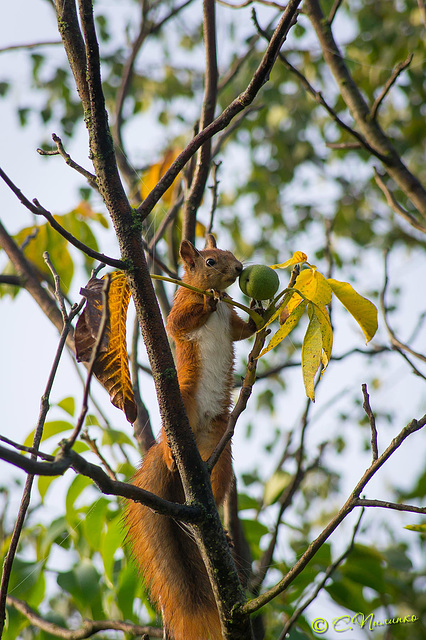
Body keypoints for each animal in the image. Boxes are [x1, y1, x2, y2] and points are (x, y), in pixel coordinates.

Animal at [124, 235, 256, 640]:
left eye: (230, 254)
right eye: (211, 261)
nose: (240, 269)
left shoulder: (231, 324)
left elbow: (244, 331)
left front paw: (261, 312)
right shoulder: (180, 312)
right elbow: (180, 320)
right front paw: (208, 301)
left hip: (220, 442)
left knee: (218, 479)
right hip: (180, 400)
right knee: (170, 438)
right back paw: (169, 455)